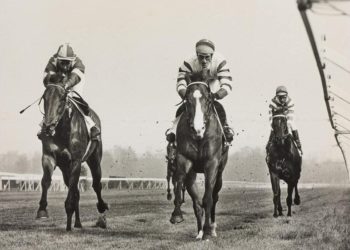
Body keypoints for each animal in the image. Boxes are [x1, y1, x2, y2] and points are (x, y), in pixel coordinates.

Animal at [36, 82, 108, 230]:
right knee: (76, 191)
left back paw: (101, 212)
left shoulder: (76, 161)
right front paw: (42, 210)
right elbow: (46, 181)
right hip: (65, 169)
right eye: (44, 98)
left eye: (63, 98)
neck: (62, 131)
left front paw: (69, 210)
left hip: (94, 160)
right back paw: (77, 223)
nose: (48, 127)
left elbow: (75, 188)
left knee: (96, 185)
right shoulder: (49, 157)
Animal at [170, 79, 230, 239]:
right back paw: (200, 232)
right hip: (192, 174)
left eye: (208, 100)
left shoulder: (211, 163)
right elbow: (179, 182)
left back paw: (211, 228)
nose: (198, 129)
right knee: (196, 202)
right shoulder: (184, 159)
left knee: (214, 196)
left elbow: (208, 198)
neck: (198, 137)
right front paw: (176, 215)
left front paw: (208, 230)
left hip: (220, 173)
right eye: (187, 101)